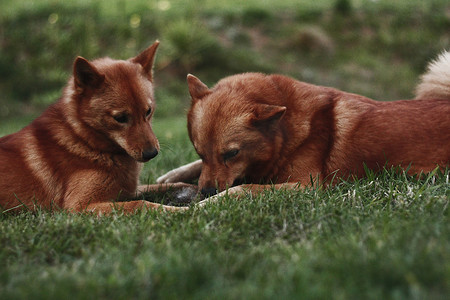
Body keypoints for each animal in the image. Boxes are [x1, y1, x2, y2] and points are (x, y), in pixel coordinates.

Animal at [0, 42, 192, 214]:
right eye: (120, 118)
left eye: (148, 111)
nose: (152, 153)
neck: (84, 141)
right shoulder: (80, 205)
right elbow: (141, 204)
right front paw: (184, 210)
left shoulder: (127, 190)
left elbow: (165, 185)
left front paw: (189, 188)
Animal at [156, 51, 448, 204]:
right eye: (200, 152)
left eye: (232, 154)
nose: (205, 191)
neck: (285, 134)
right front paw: (173, 174)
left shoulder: (306, 185)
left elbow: (241, 188)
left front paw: (210, 202)